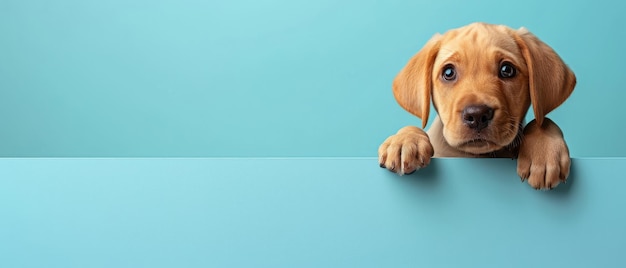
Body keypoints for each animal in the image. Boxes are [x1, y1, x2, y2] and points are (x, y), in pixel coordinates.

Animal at [376, 23, 576, 191]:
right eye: (448, 72)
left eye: (507, 70)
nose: (477, 115)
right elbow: (413, 128)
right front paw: (403, 141)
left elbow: (543, 120)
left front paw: (544, 152)